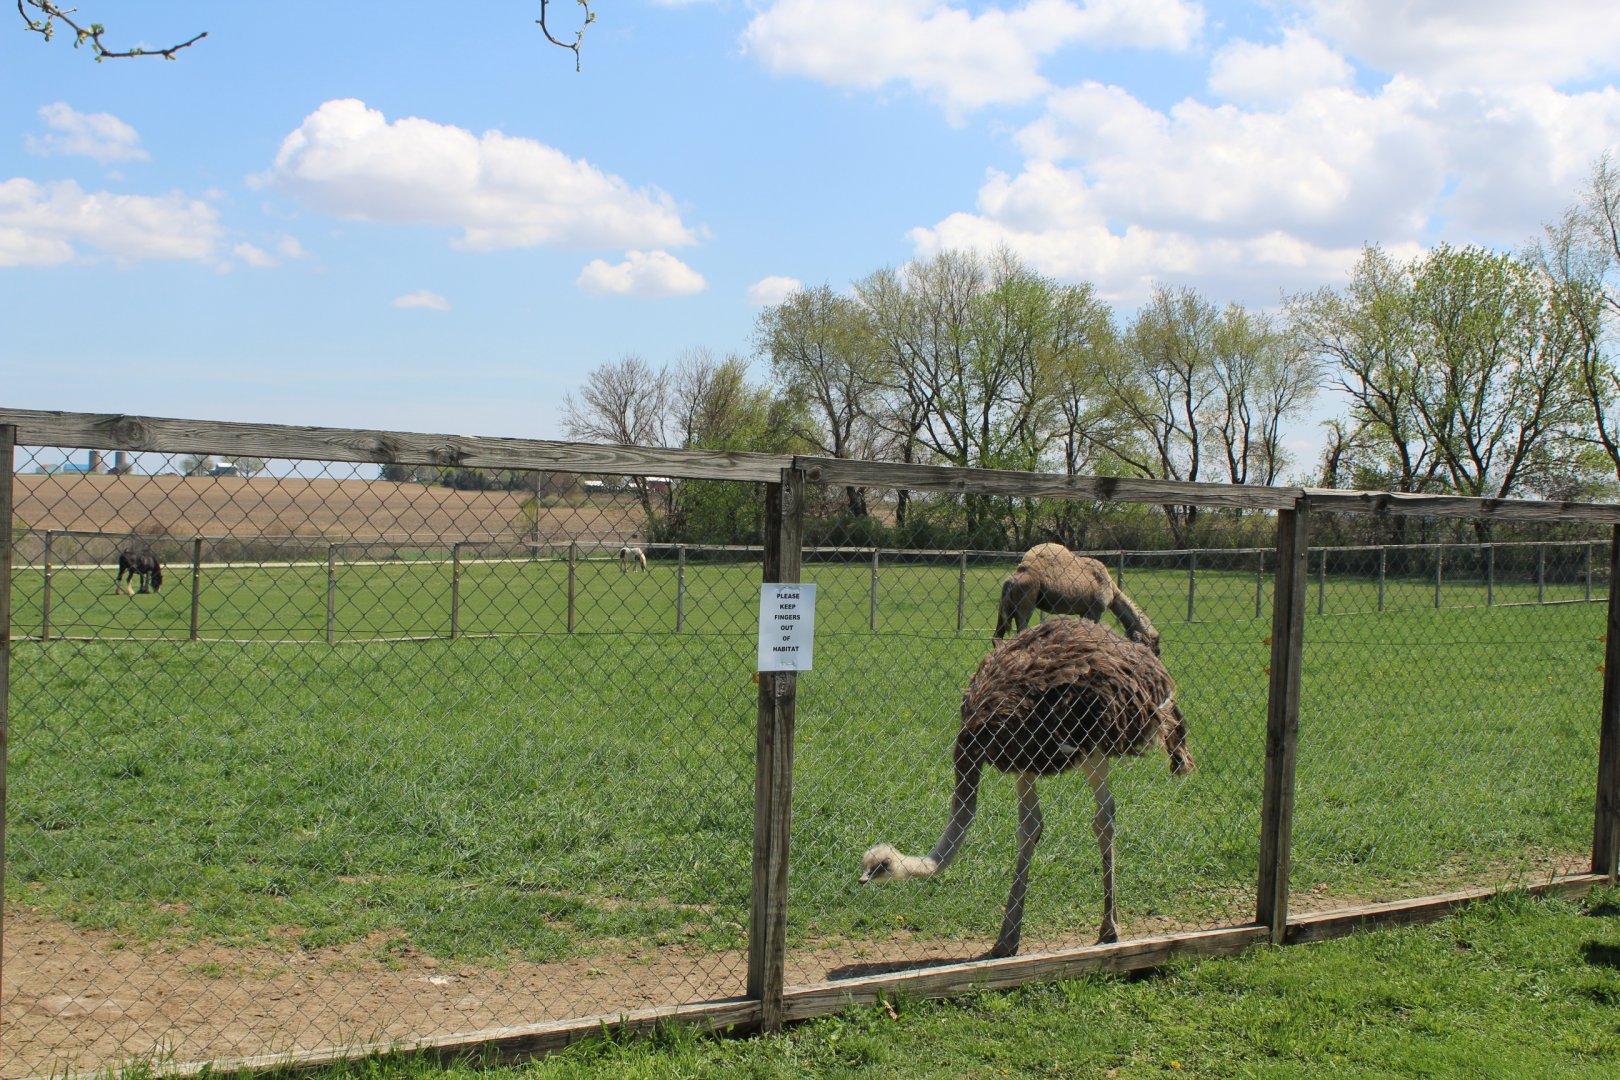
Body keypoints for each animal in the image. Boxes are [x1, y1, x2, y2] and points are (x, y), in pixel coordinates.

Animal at [860, 617, 1195, 957]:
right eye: (869, 862)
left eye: (882, 865)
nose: (862, 879)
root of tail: (1148, 664)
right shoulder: (1022, 767)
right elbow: (1029, 826)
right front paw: (1006, 940)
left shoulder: (1073, 752)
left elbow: (1092, 818)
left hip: (1097, 747)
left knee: (1104, 817)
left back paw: (1109, 928)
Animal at [993, 543, 1160, 654]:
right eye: (1154, 647)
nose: (1157, 657)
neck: (1112, 590)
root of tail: (1010, 582)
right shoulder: (1095, 610)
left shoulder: (1083, 611)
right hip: (1025, 605)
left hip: (1004, 609)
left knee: (997, 637)